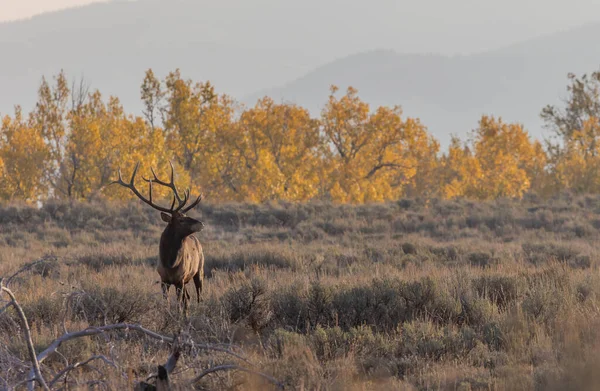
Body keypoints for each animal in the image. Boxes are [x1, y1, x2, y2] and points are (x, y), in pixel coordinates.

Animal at [112, 162, 204, 316]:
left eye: (185, 215)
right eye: (181, 219)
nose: (201, 223)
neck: (170, 263)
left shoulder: (180, 279)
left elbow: (178, 305)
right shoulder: (163, 279)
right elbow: (167, 303)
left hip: (199, 270)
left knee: (198, 296)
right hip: (186, 280)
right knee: (188, 298)